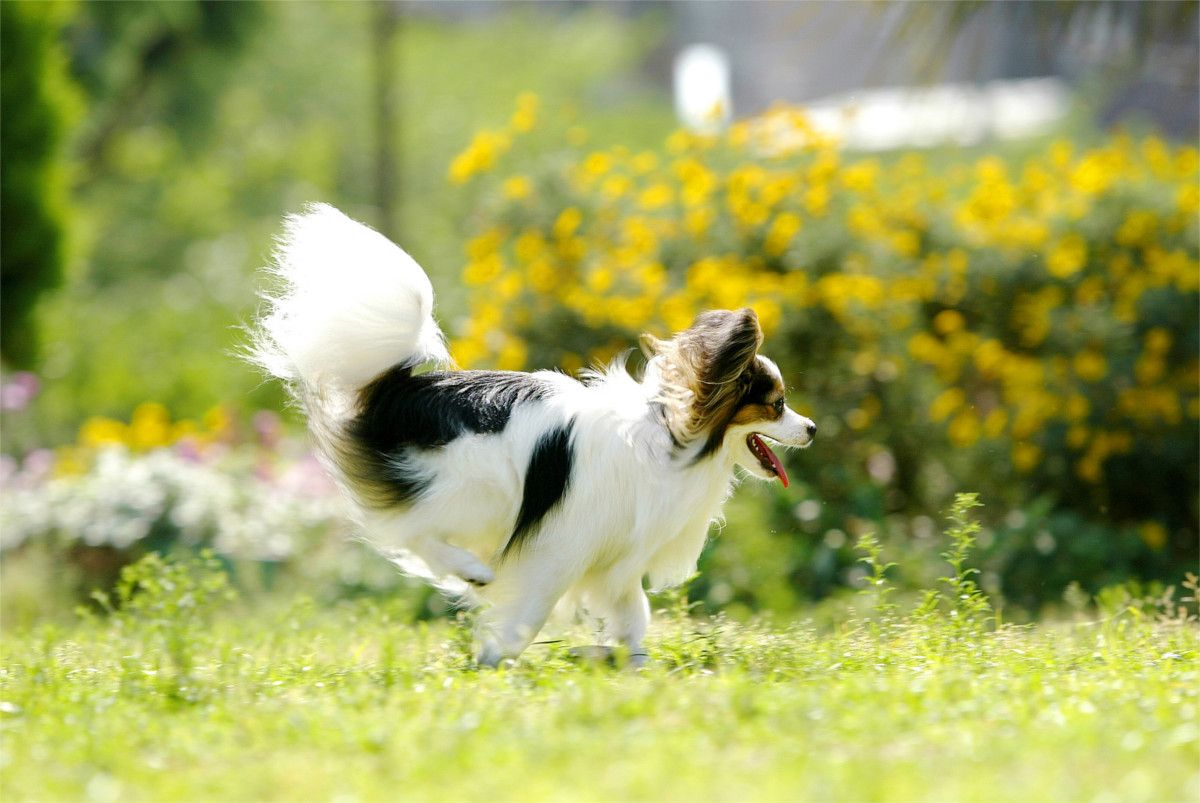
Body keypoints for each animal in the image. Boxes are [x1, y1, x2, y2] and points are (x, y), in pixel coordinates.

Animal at [249, 201, 820, 662]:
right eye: (776, 406)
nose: (813, 428)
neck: (672, 440)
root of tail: (401, 390)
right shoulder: (559, 549)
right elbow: (531, 612)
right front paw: (495, 657)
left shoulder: (615, 563)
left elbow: (634, 617)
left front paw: (634, 665)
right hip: (479, 492)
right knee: (410, 530)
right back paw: (470, 570)